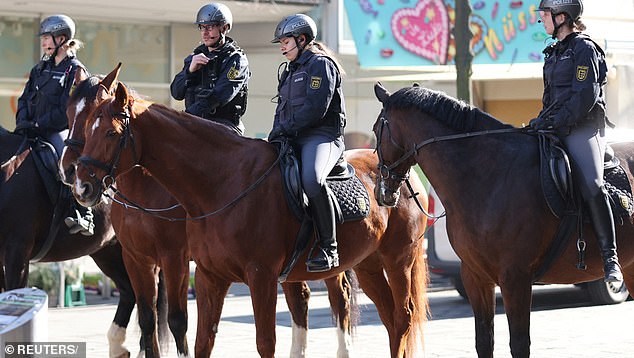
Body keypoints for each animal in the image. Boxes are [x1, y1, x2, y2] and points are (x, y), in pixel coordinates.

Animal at [68, 76, 424, 358]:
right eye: (80, 122)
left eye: (111, 134)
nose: (80, 184)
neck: (221, 182)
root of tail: (402, 176)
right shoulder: (180, 269)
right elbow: (181, 335)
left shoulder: (239, 271)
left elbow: (249, 339)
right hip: (364, 264)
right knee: (378, 314)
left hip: (396, 260)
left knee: (396, 315)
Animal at [370, 82, 632, 356]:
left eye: (376, 129)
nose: (382, 192)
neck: (488, 176)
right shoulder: (475, 277)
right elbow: (484, 341)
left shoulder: (515, 278)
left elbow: (519, 344)